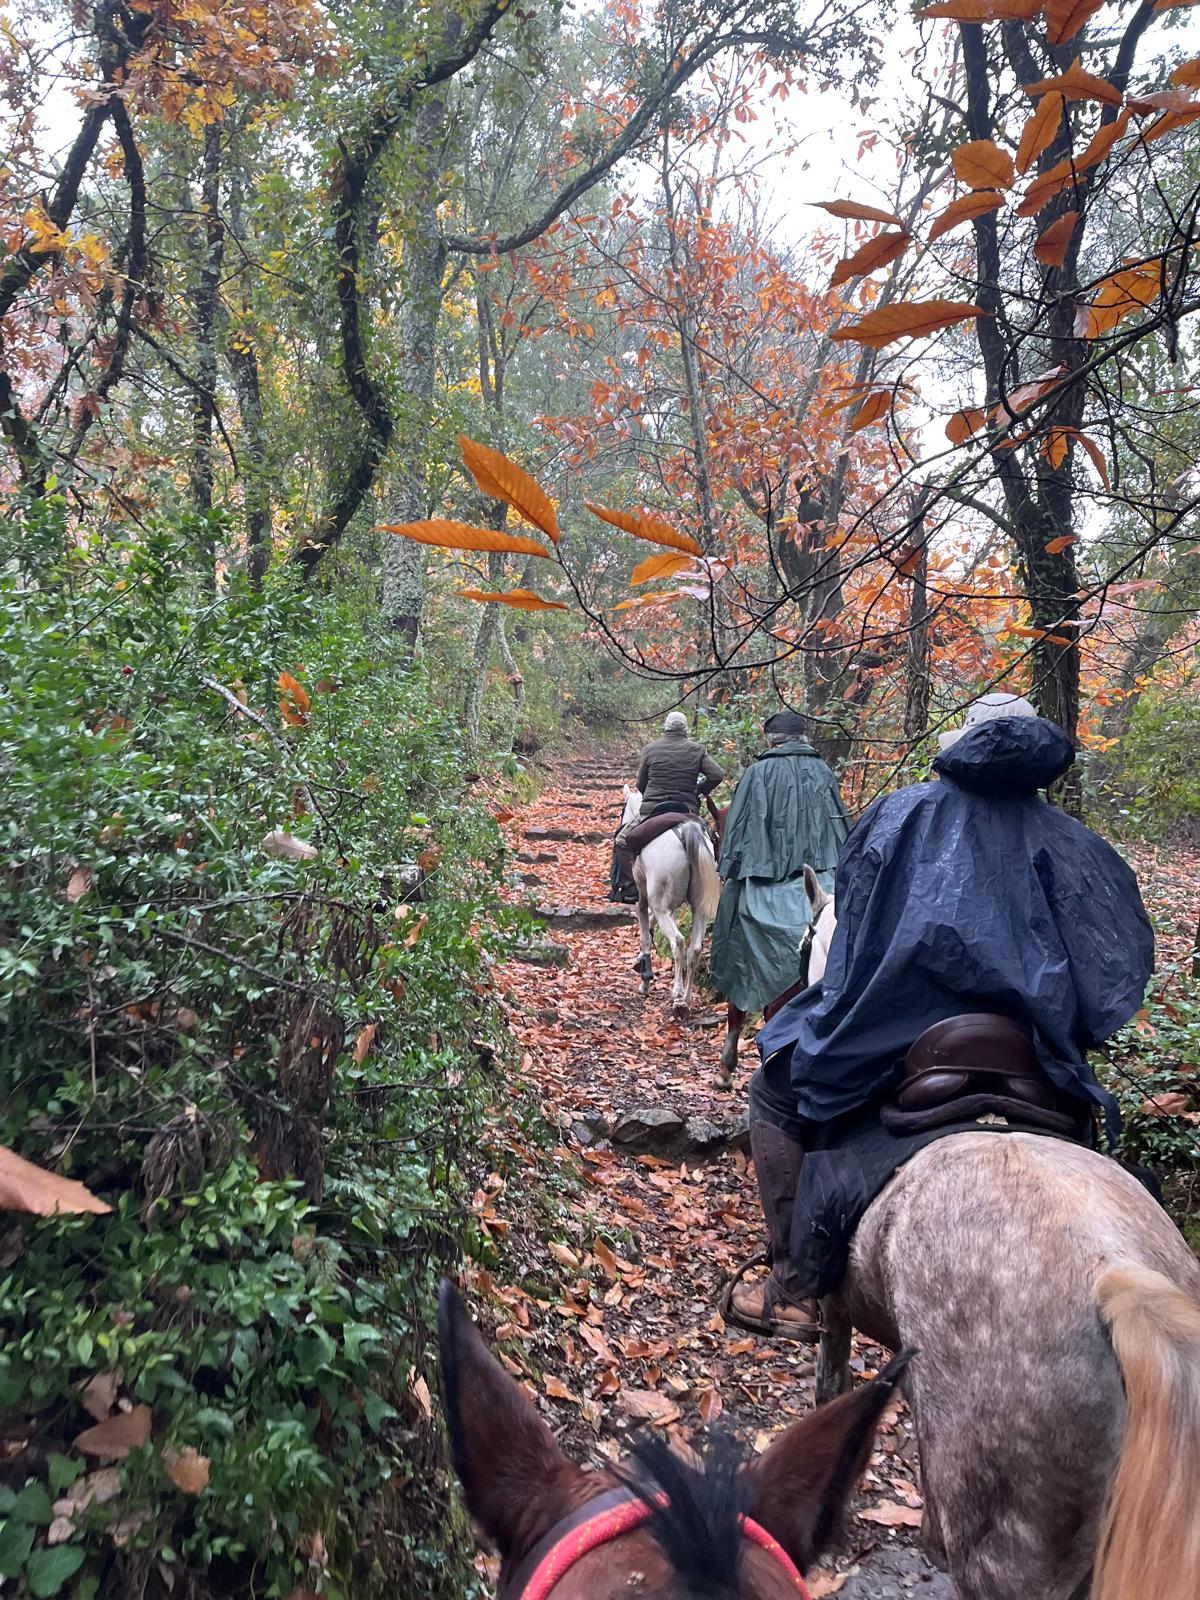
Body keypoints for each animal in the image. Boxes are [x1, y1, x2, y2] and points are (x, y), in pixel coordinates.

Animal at [620, 784, 721, 1020]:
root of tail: (687, 830)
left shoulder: (644, 898)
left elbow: (645, 934)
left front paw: (644, 980)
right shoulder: (669, 907)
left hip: (661, 904)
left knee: (678, 941)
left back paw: (676, 991)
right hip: (699, 908)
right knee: (695, 948)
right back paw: (685, 999)